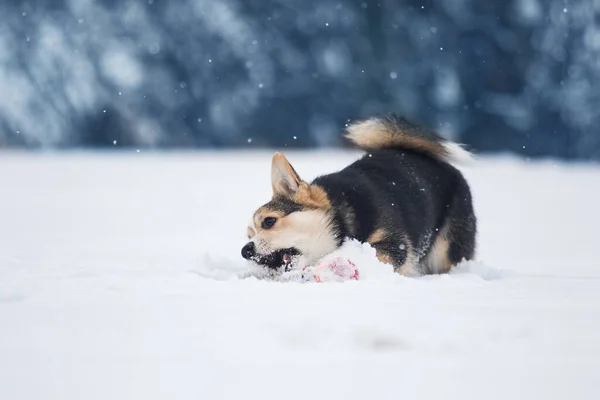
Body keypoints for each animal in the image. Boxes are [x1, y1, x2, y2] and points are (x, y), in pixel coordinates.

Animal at [241, 114, 476, 276]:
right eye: (249, 235)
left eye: (269, 221)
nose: (245, 251)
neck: (343, 216)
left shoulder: (395, 244)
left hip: (445, 250)